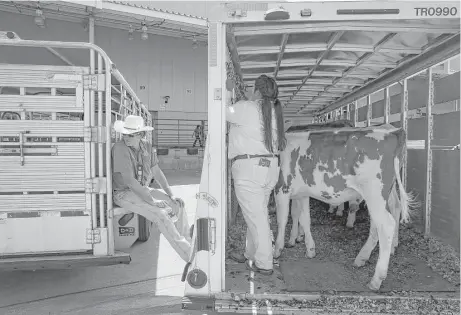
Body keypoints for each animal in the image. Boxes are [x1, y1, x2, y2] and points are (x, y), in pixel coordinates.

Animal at [274, 124, 416, 292]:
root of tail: (394, 132)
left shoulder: (281, 188)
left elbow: (282, 219)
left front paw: (278, 249)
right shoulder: (301, 193)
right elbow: (304, 219)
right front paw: (309, 249)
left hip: (374, 193)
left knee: (386, 225)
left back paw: (376, 279)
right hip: (385, 193)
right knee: (392, 210)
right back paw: (368, 255)